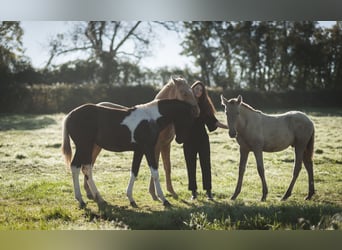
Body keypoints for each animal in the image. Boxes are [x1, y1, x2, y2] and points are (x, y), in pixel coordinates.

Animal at [61, 98, 195, 208]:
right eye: (188, 118)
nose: (179, 140)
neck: (151, 117)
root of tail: (70, 115)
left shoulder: (139, 150)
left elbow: (134, 171)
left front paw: (131, 199)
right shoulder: (148, 149)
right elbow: (155, 173)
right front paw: (164, 200)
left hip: (87, 148)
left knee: (86, 168)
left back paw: (99, 199)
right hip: (83, 146)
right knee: (76, 167)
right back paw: (81, 200)